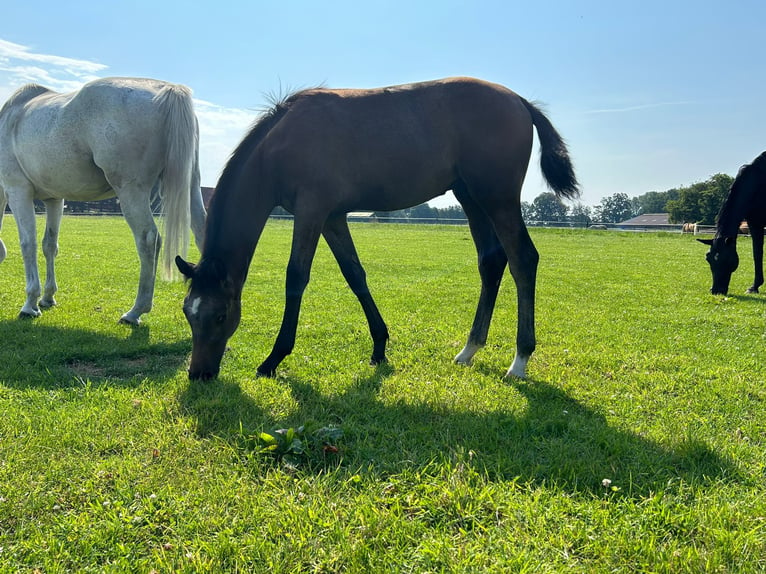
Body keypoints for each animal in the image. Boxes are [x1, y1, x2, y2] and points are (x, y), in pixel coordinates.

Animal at [0, 77, 207, 324]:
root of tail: (168, 90)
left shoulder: (17, 191)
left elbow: (27, 244)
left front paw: (30, 304)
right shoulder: (54, 199)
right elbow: (49, 245)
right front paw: (48, 297)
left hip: (131, 191)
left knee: (148, 240)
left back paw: (136, 311)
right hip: (191, 187)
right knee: (202, 232)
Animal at [177, 76, 580, 382]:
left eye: (220, 316)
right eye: (187, 313)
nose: (198, 374)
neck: (279, 145)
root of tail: (520, 101)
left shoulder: (311, 212)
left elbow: (296, 277)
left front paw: (273, 359)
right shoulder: (333, 217)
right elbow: (355, 274)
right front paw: (380, 347)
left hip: (498, 199)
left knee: (523, 259)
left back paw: (520, 359)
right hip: (471, 197)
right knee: (491, 262)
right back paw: (469, 349)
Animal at [704, 152, 766, 294]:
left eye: (726, 259)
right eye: (708, 257)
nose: (716, 290)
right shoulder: (755, 223)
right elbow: (757, 254)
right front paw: (754, 287)